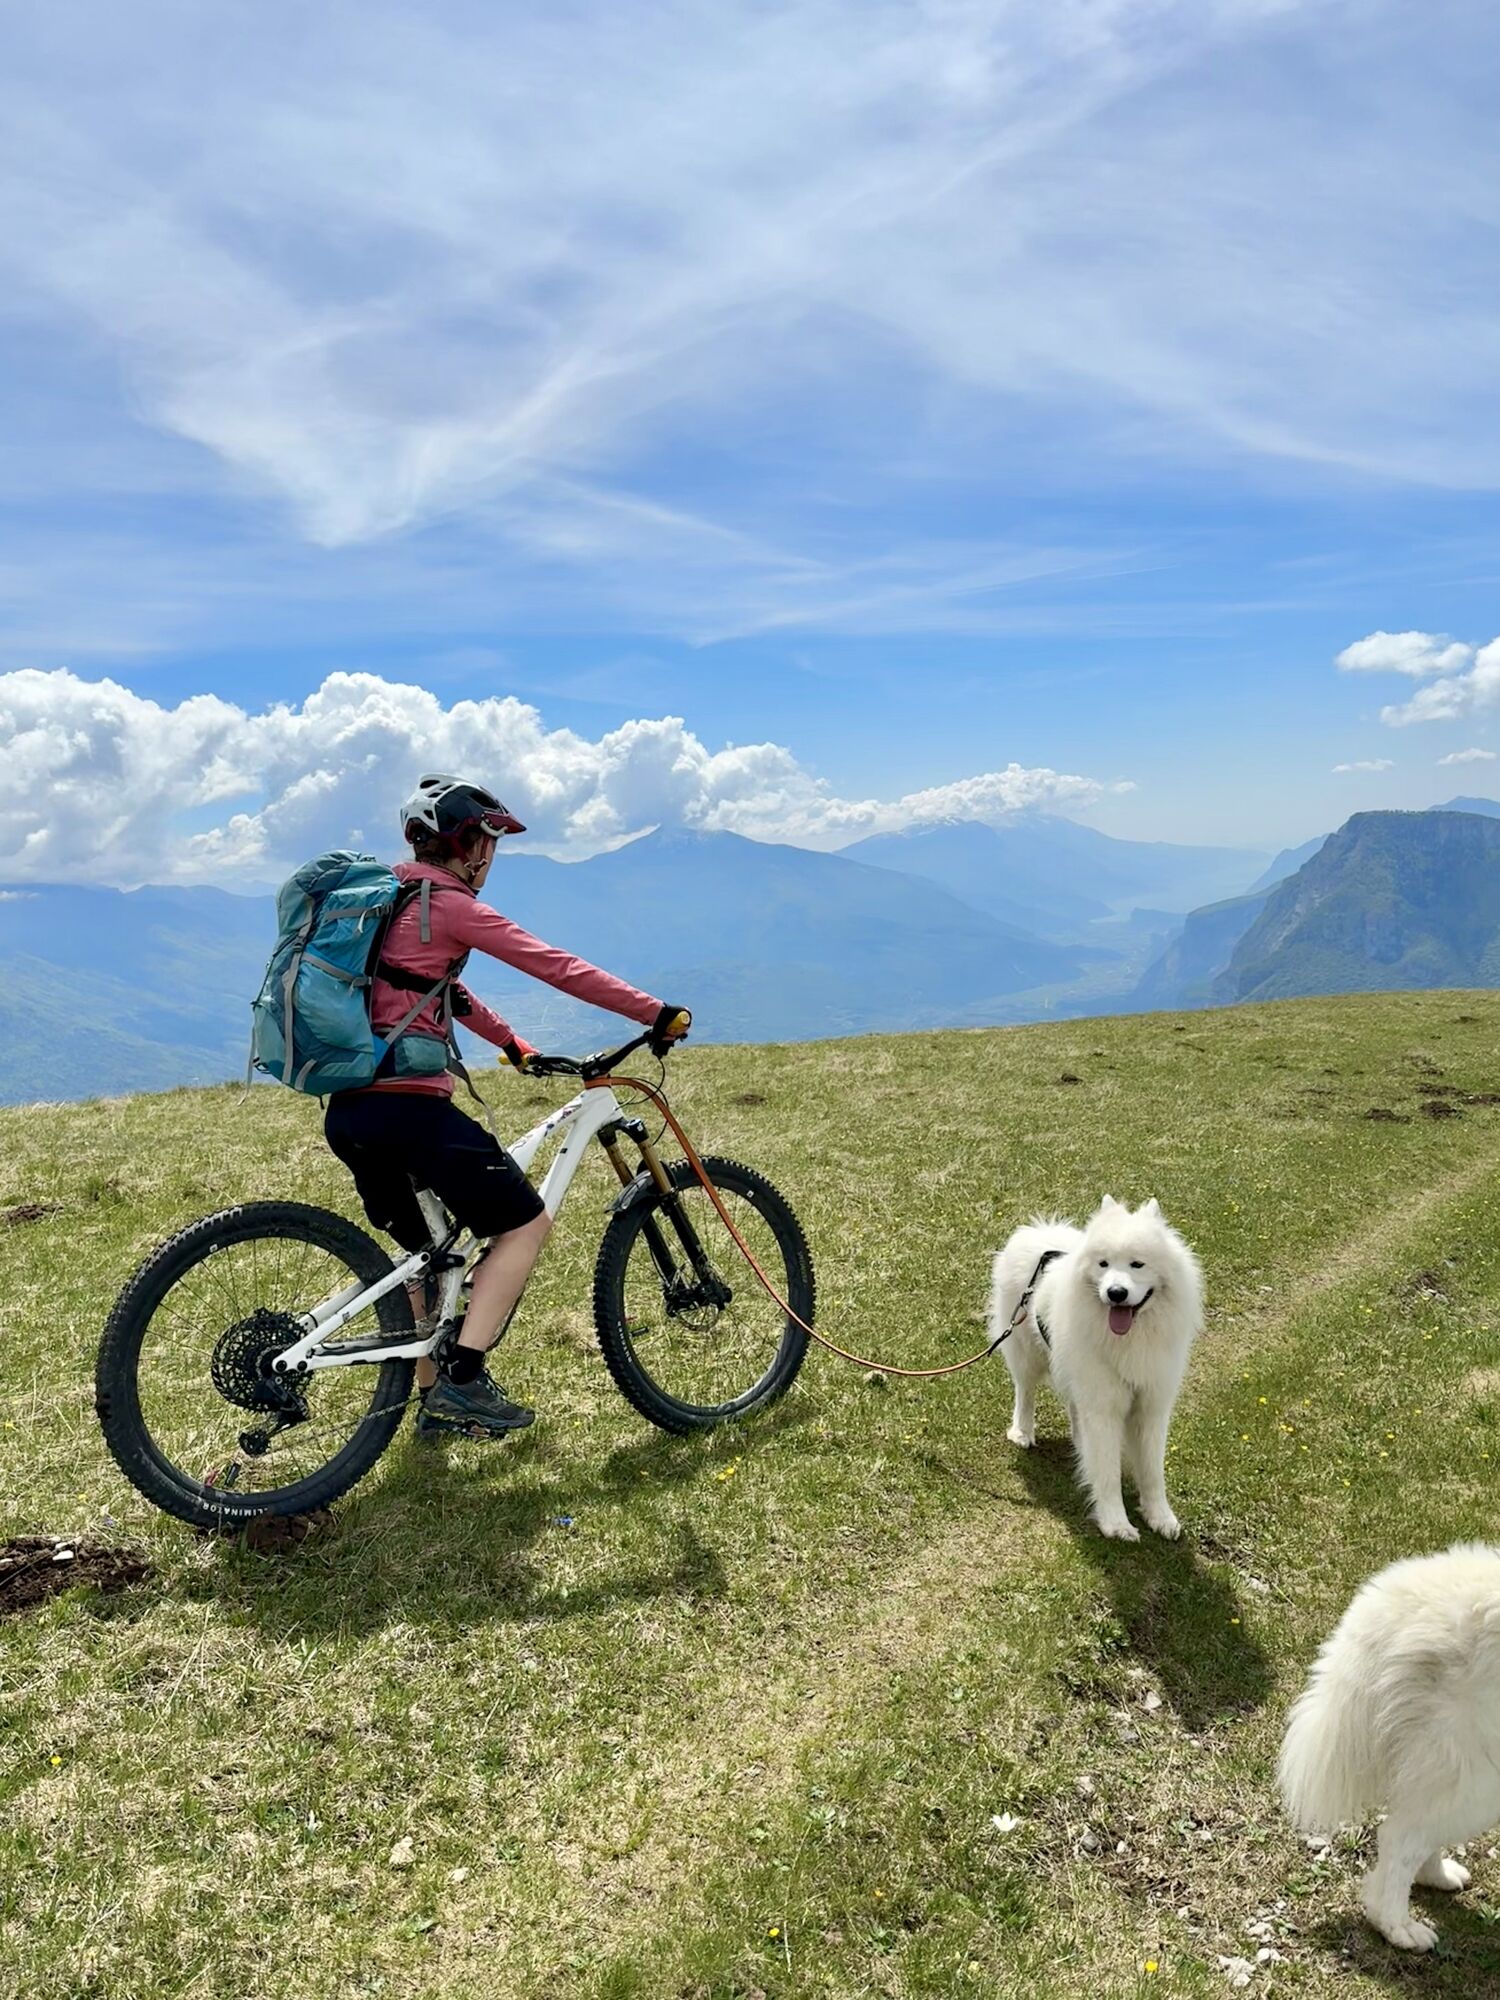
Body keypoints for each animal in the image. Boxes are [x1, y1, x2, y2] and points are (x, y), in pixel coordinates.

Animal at [989, 1196, 1203, 1541]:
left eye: (1137, 1264)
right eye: (1103, 1264)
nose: (1115, 1293)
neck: (1129, 1339)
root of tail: (1039, 1231)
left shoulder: (1151, 1405)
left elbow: (1153, 1470)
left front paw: (1160, 1516)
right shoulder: (1104, 1405)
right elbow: (1107, 1471)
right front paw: (1116, 1524)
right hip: (1026, 1352)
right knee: (1025, 1391)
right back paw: (1022, 1431)